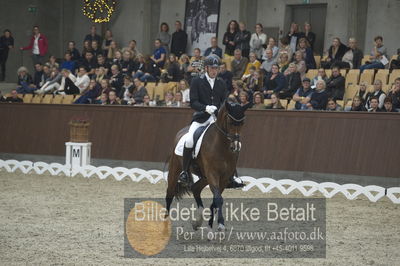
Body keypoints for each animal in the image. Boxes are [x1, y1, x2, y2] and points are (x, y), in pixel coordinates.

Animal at [166, 100, 250, 231]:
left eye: (242, 123)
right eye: (230, 122)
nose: (236, 147)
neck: (222, 146)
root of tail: (181, 132)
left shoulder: (224, 177)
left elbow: (216, 199)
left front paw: (213, 222)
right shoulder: (212, 173)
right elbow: (218, 198)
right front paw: (220, 224)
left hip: (204, 177)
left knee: (195, 188)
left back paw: (197, 222)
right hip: (176, 171)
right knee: (169, 194)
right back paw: (164, 224)